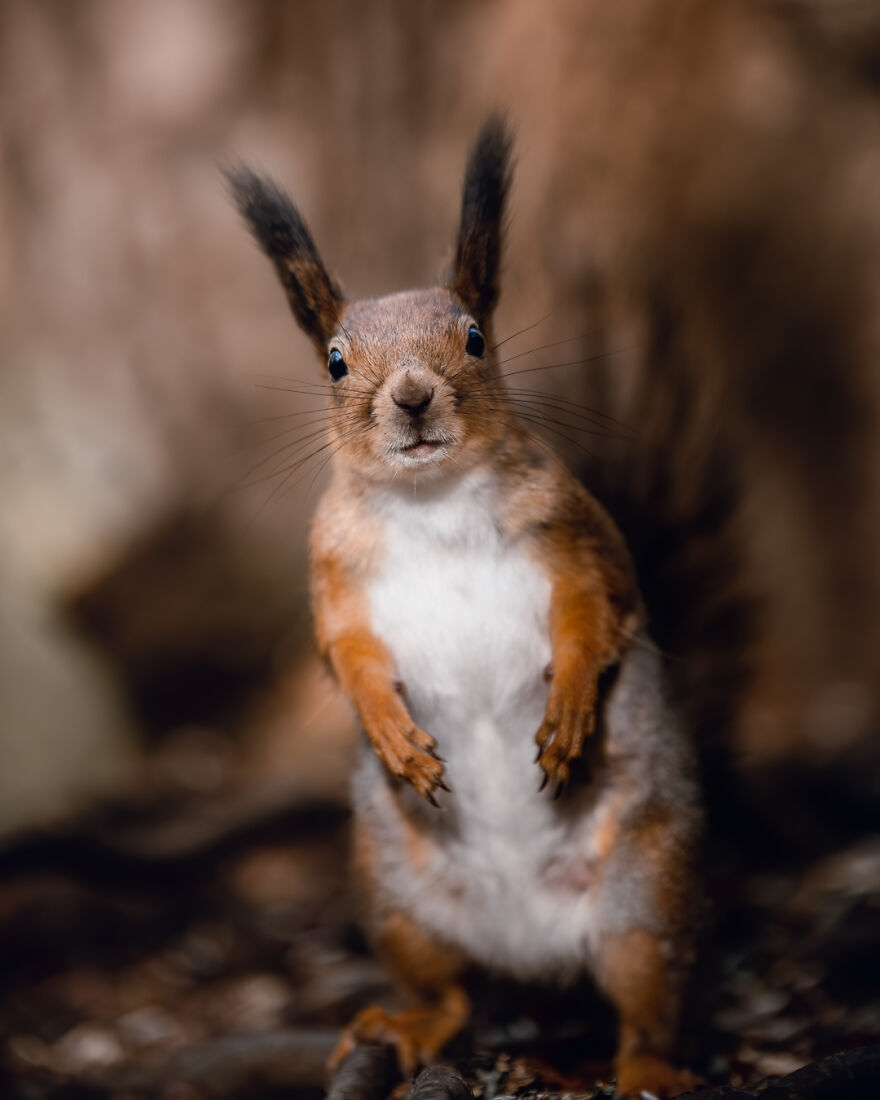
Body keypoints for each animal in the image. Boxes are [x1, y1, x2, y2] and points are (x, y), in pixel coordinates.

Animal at [228, 116, 702, 1100]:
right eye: (335, 361)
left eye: (476, 337)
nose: (412, 395)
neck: (433, 500)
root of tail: (530, 955)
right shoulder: (334, 576)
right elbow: (348, 655)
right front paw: (394, 735)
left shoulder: (573, 535)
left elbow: (590, 616)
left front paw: (567, 716)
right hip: (398, 902)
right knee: (449, 995)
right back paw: (409, 1022)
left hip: (644, 901)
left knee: (647, 1001)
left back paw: (647, 1068)